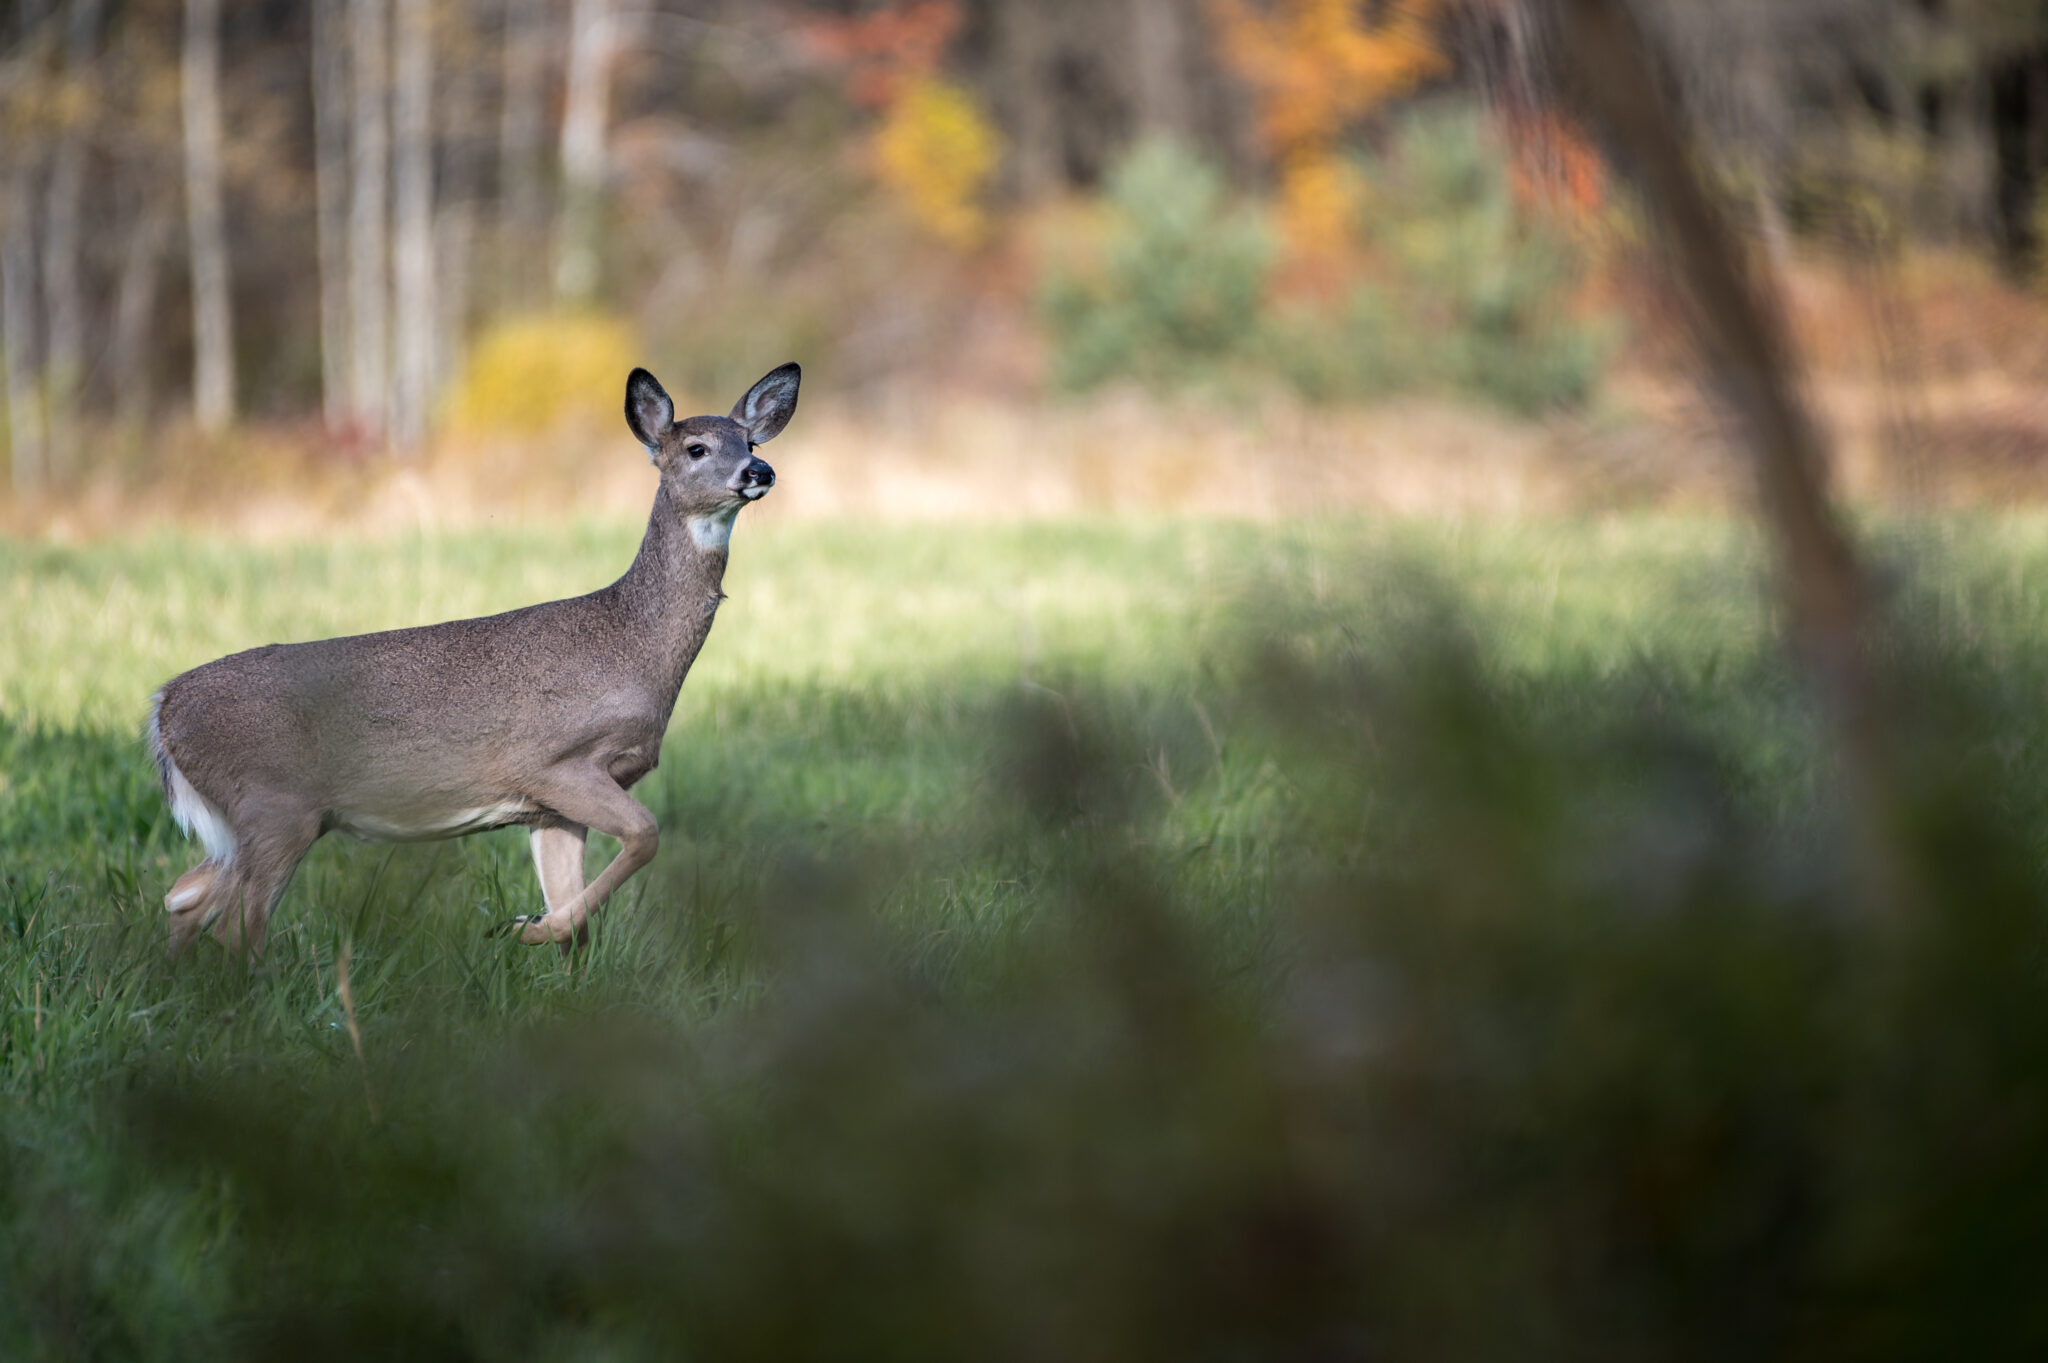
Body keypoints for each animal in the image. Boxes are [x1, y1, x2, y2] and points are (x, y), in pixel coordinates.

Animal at [146, 363, 798, 957]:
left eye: (752, 441)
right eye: (696, 447)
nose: (759, 471)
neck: (632, 644)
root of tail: (163, 705)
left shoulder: (550, 809)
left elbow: (576, 913)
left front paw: (538, 933)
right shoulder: (551, 762)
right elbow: (646, 835)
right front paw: (523, 928)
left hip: (254, 819)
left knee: (185, 895)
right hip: (274, 804)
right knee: (237, 923)